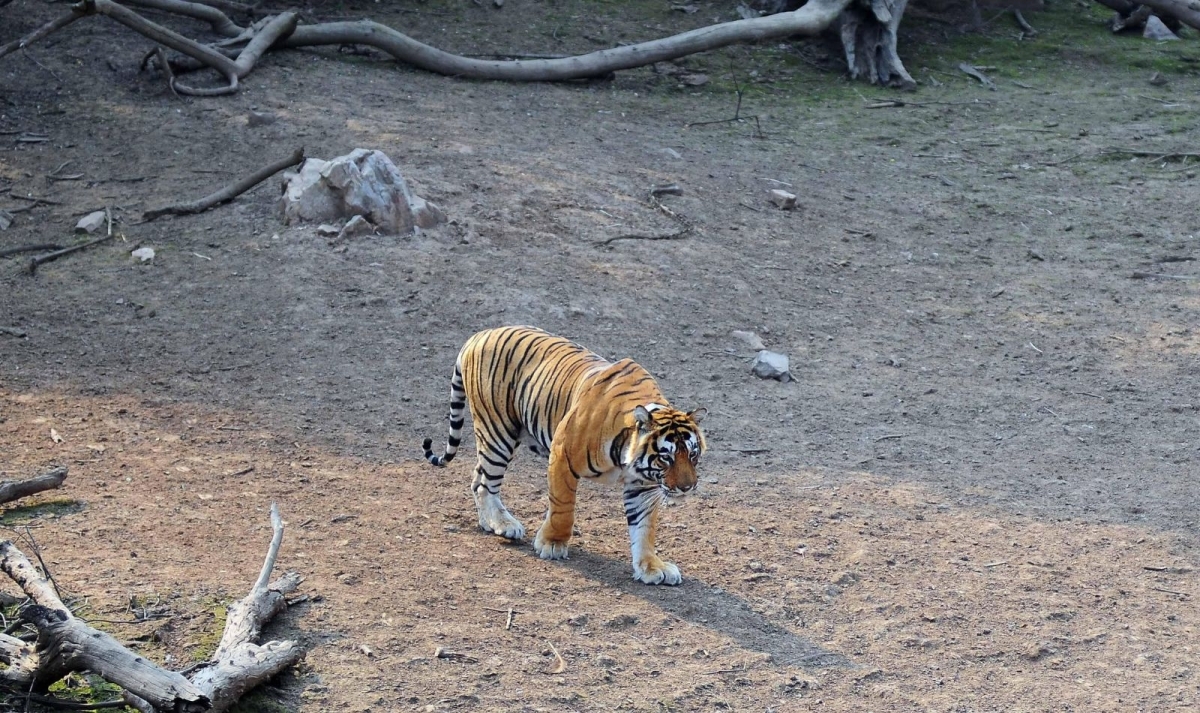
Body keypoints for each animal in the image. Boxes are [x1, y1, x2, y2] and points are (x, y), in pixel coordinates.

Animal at [421, 326, 707, 585]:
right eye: (666, 457)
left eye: (693, 455)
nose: (687, 487)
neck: (626, 458)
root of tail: (479, 334)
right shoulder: (561, 457)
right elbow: (563, 509)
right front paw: (552, 544)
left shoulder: (643, 485)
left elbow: (644, 528)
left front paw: (650, 567)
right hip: (497, 432)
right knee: (485, 483)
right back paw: (504, 524)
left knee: (476, 476)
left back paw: (489, 522)